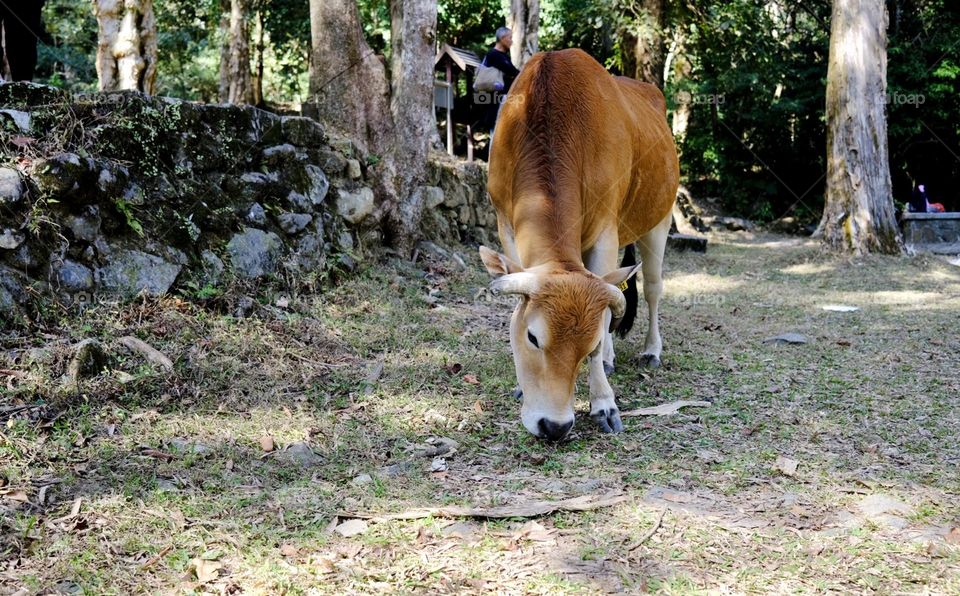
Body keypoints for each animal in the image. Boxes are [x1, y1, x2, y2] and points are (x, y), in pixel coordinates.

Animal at [478, 49, 676, 440]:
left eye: (588, 344)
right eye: (532, 337)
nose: (554, 426)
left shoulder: (605, 232)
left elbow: (605, 318)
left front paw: (604, 404)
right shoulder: (505, 224)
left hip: (659, 219)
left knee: (652, 289)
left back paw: (651, 351)